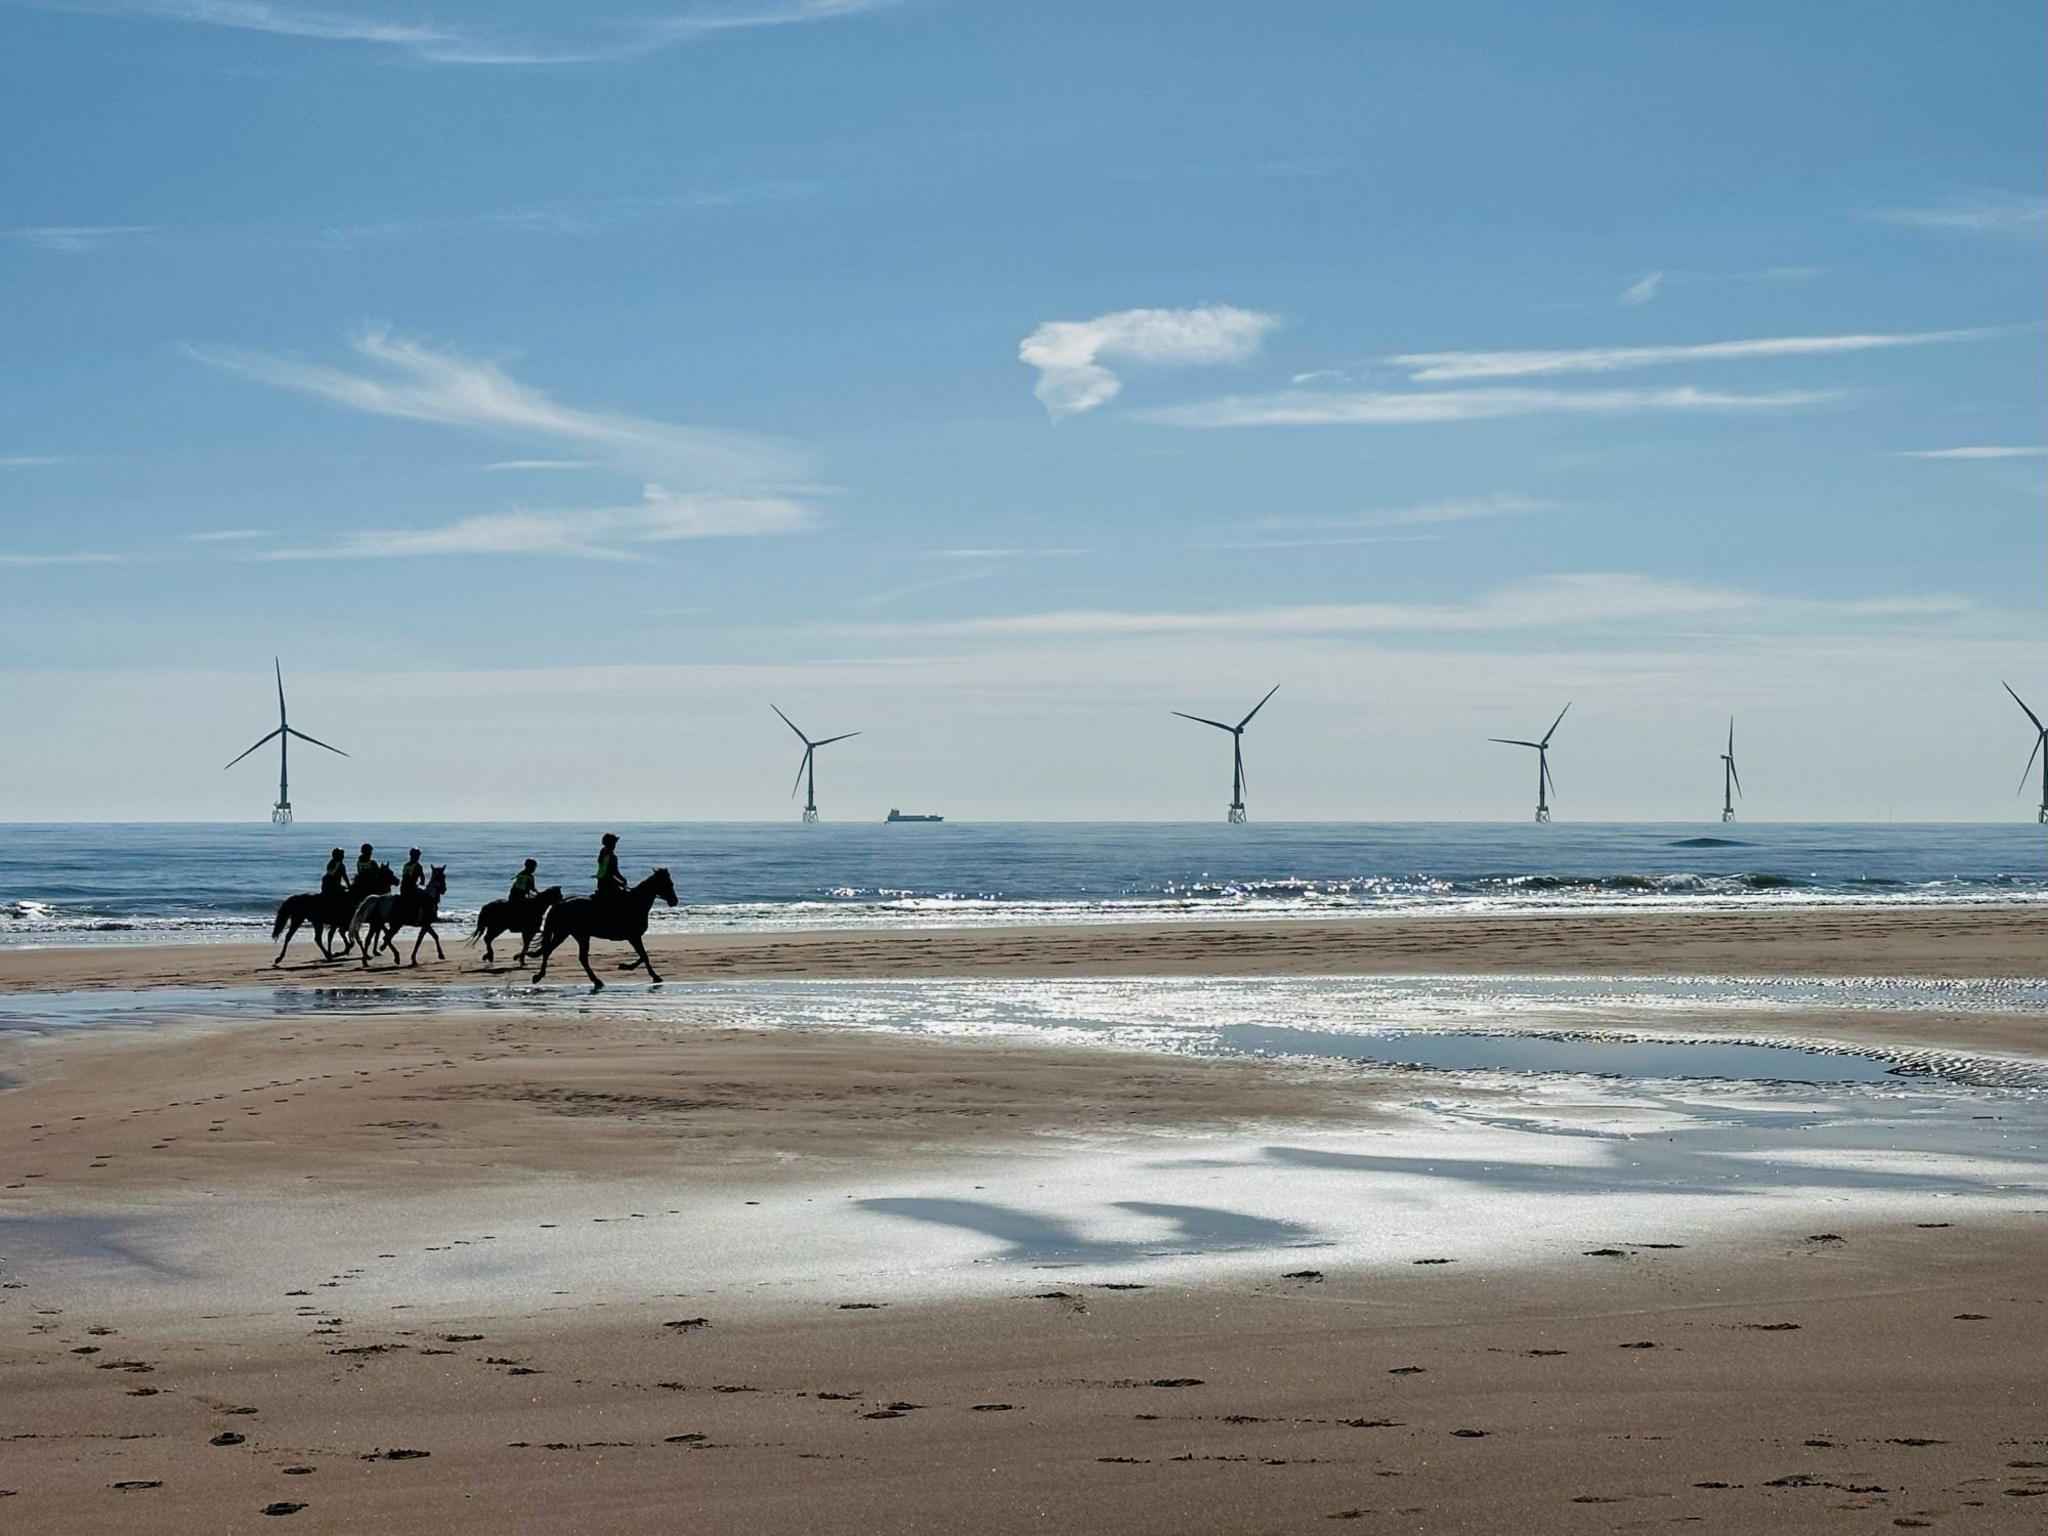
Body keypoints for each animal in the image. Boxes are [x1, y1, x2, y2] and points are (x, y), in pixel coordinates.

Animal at [528, 872, 679, 991]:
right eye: (669, 883)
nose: (675, 901)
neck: (636, 903)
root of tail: (558, 904)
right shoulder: (634, 936)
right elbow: (644, 956)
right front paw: (641, 971)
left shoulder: (634, 937)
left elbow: (643, 956)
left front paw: (628, 967)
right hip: (568, 934)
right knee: (552, 952)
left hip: (574, 935)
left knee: (573, 956)